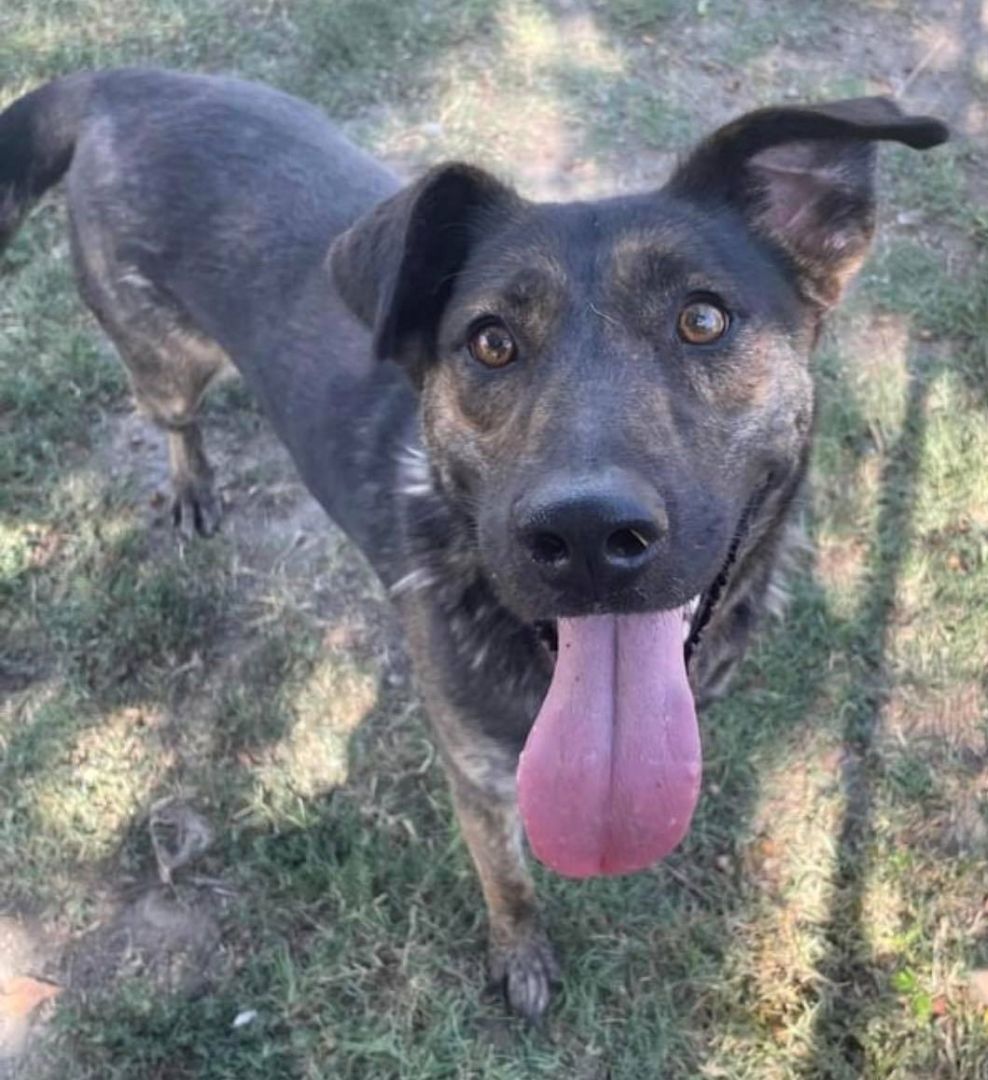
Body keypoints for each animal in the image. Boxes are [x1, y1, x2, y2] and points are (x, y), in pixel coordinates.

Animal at [0, 69, 945, 1019]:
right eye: (491, 342)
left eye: (704, 321)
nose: (586, 534)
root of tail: (120, 83)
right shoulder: (480, 777)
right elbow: (508, 881)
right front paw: (520, 955)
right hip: (164, 358)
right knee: (175, 417)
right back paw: (191, 482)